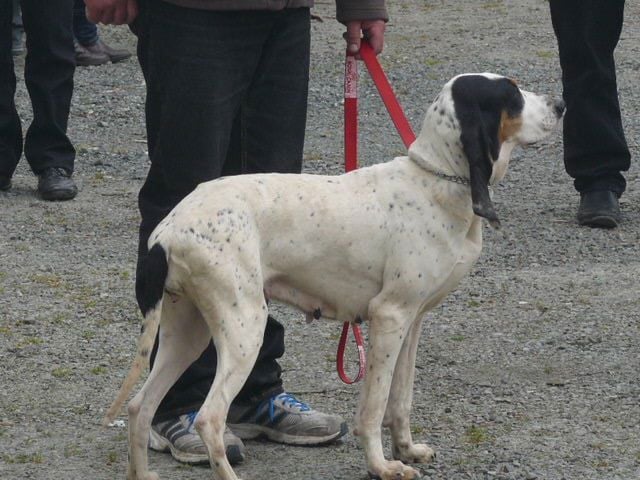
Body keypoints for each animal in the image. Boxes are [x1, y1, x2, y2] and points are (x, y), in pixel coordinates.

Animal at [105, 72, 564, 480]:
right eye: (511, 94)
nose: (560, 105)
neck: (434, 180)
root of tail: (167, 231)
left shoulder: (412, 323)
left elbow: (400, 400)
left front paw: (407, 450)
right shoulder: (389, 317)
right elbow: (374, 407)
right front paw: (382, 466)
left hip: (188, 331)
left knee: (140, 406)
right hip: (244, 328)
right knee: (208, 417)